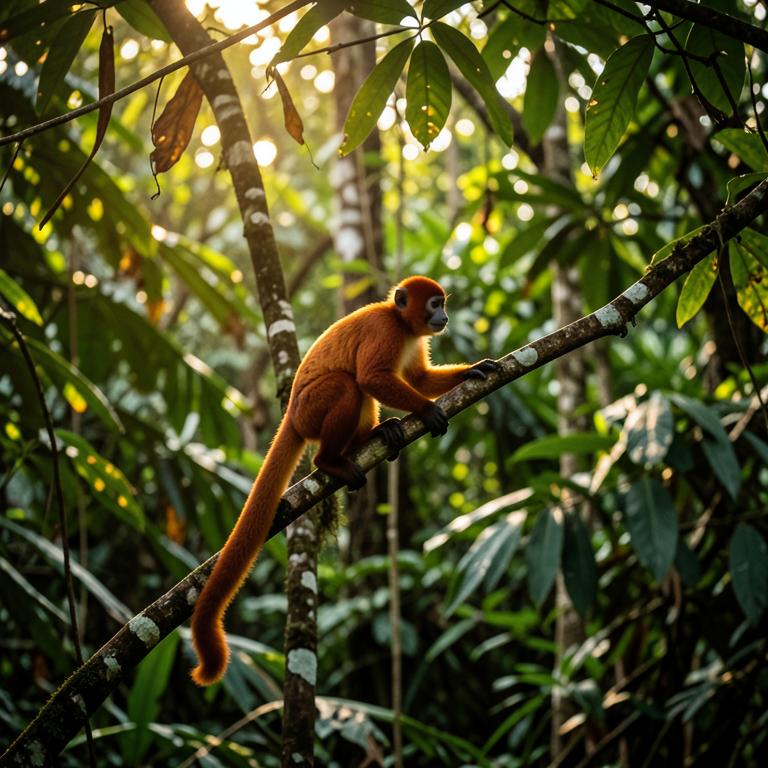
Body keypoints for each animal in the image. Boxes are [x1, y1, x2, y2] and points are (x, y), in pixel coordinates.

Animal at [190, 275, 499, 685]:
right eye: (435, 304)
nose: (444, 317)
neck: (401, 324)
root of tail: (292, 413)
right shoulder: (385, 331)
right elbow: (372, 377)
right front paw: (426, 409)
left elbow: (416, 378)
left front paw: (470, 372)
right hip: (312, 408)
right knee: (349, 385)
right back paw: (329, 461)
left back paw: (375, 437)